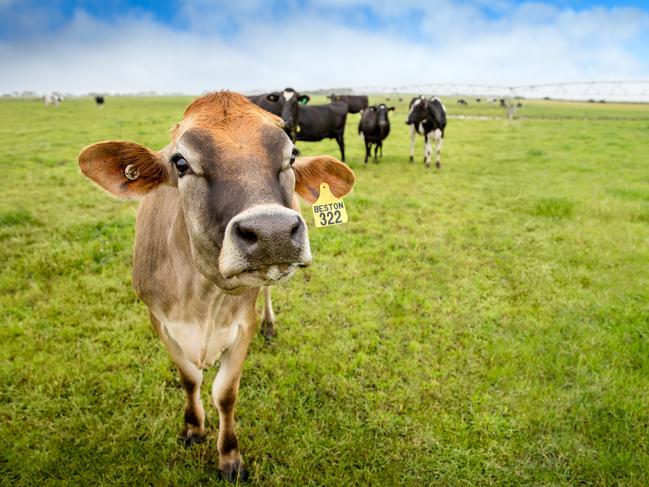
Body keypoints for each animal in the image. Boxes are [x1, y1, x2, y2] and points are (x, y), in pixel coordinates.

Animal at [79, 90, 360, 480]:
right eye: (180, 163)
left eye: (291, 155)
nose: (272, 232)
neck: (203, 299)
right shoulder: (159, 321)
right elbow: (189, 379)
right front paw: (193, 428)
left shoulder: (242, 324)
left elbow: (225, 393)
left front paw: (229, 457)